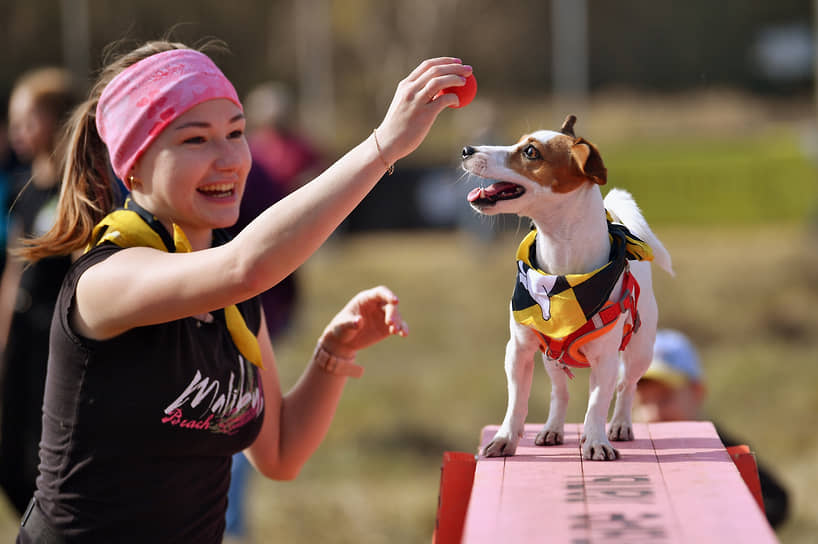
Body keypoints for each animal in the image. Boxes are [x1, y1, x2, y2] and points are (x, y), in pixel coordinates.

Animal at [460, 115, 668, 460]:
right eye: (519, 141)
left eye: (531, 152)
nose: (466, 149)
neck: (561, 270)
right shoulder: (518, 351)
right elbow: (516, 402)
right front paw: (505, 438)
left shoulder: (605, 360)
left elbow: (597, 403)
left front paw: (596, 440)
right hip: (551, 358)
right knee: (560, 392)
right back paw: (553, 429)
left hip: (640, 350)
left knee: (626, 387)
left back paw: (620, 425)